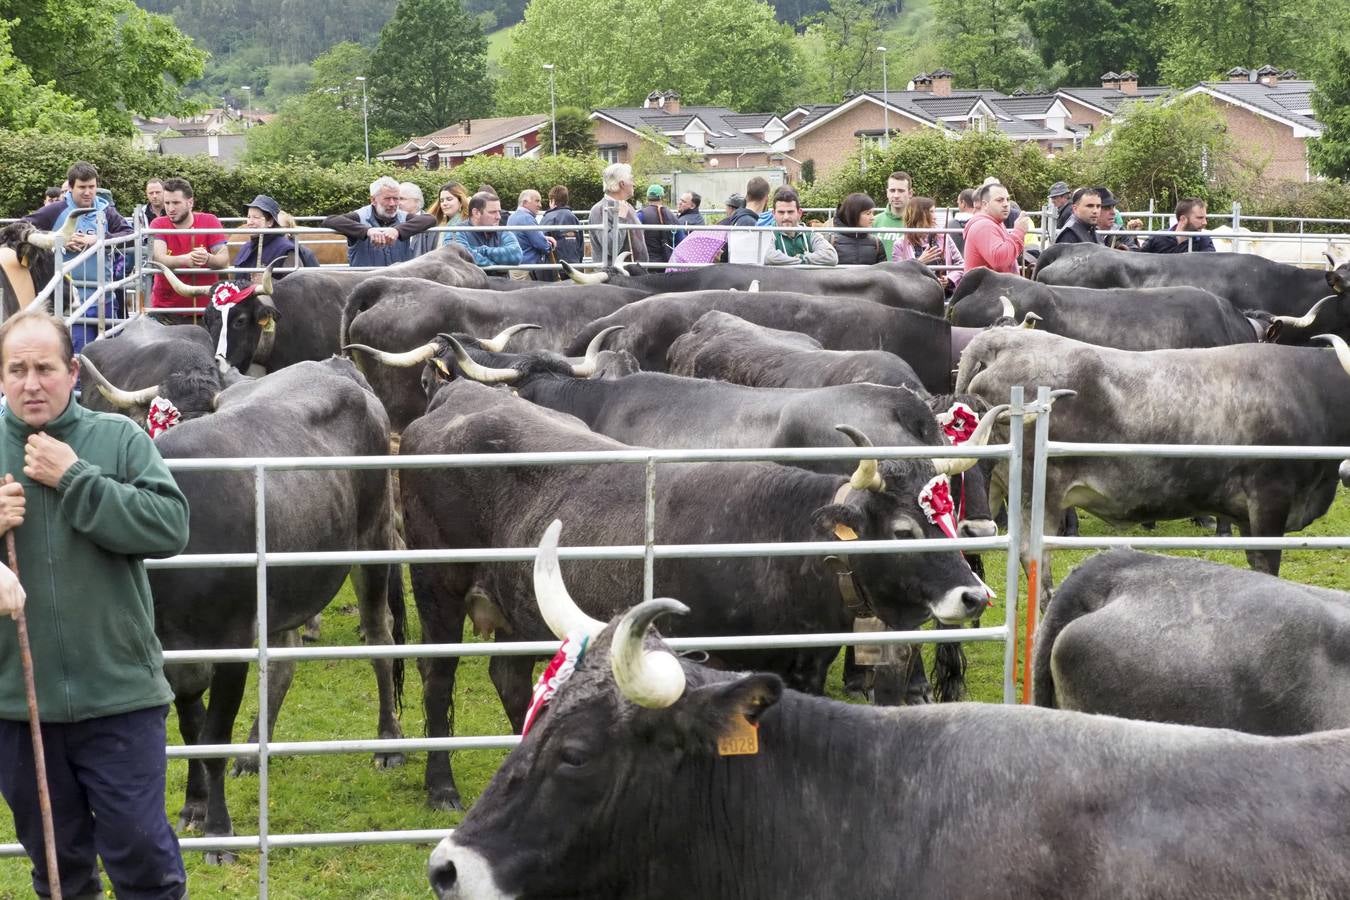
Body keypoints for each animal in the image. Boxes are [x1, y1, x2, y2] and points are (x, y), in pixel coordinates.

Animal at [151, 358, 405, 858]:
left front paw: (219, 832)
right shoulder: (172, 656)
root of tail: (337, 365)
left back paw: (388, 742)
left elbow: (213, 736)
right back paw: (255, 752)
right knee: (284, 663)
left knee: (380, 639)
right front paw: (194, 806)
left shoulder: (229, 645)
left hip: (374, 538)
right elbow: (191, 733)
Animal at [399, 380, 993, 809]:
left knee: (508, 677)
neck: (773, 539)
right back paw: (441, 787)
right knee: (437, 677)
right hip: (436, 590)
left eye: (946, 518)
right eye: (902, 530)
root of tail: (457, 399)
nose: (975, 596)